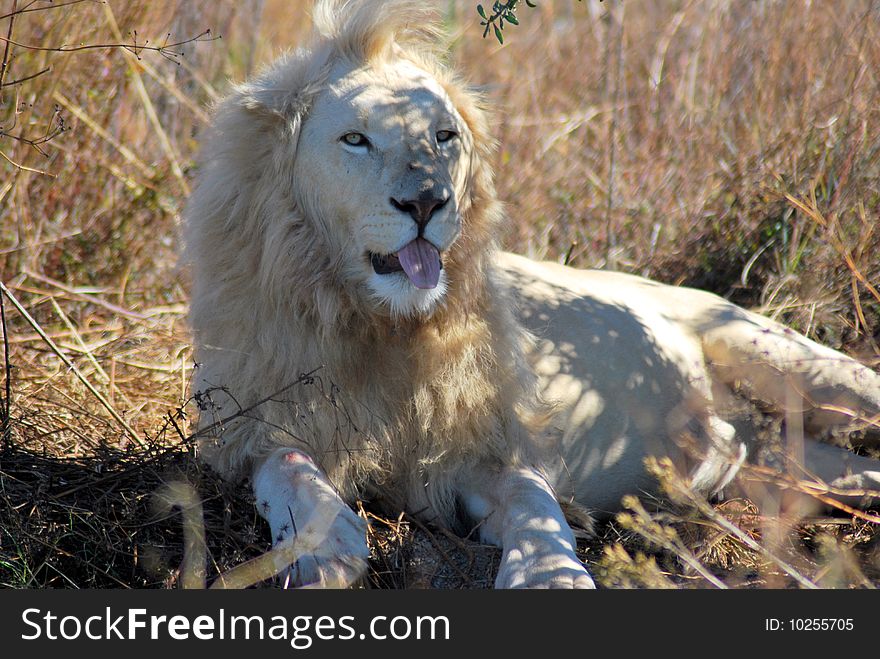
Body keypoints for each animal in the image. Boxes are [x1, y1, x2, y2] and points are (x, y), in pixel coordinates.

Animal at [182, 0, 876, 588]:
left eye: (443, 137)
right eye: (355, 139)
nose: (427, 202)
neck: (381, 325)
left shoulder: (489, 438)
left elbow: (531, 498)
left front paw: (550, 574)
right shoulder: (251, 419)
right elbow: (286, 464)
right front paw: (323, 546)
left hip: (791, 361)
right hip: (788, 471)